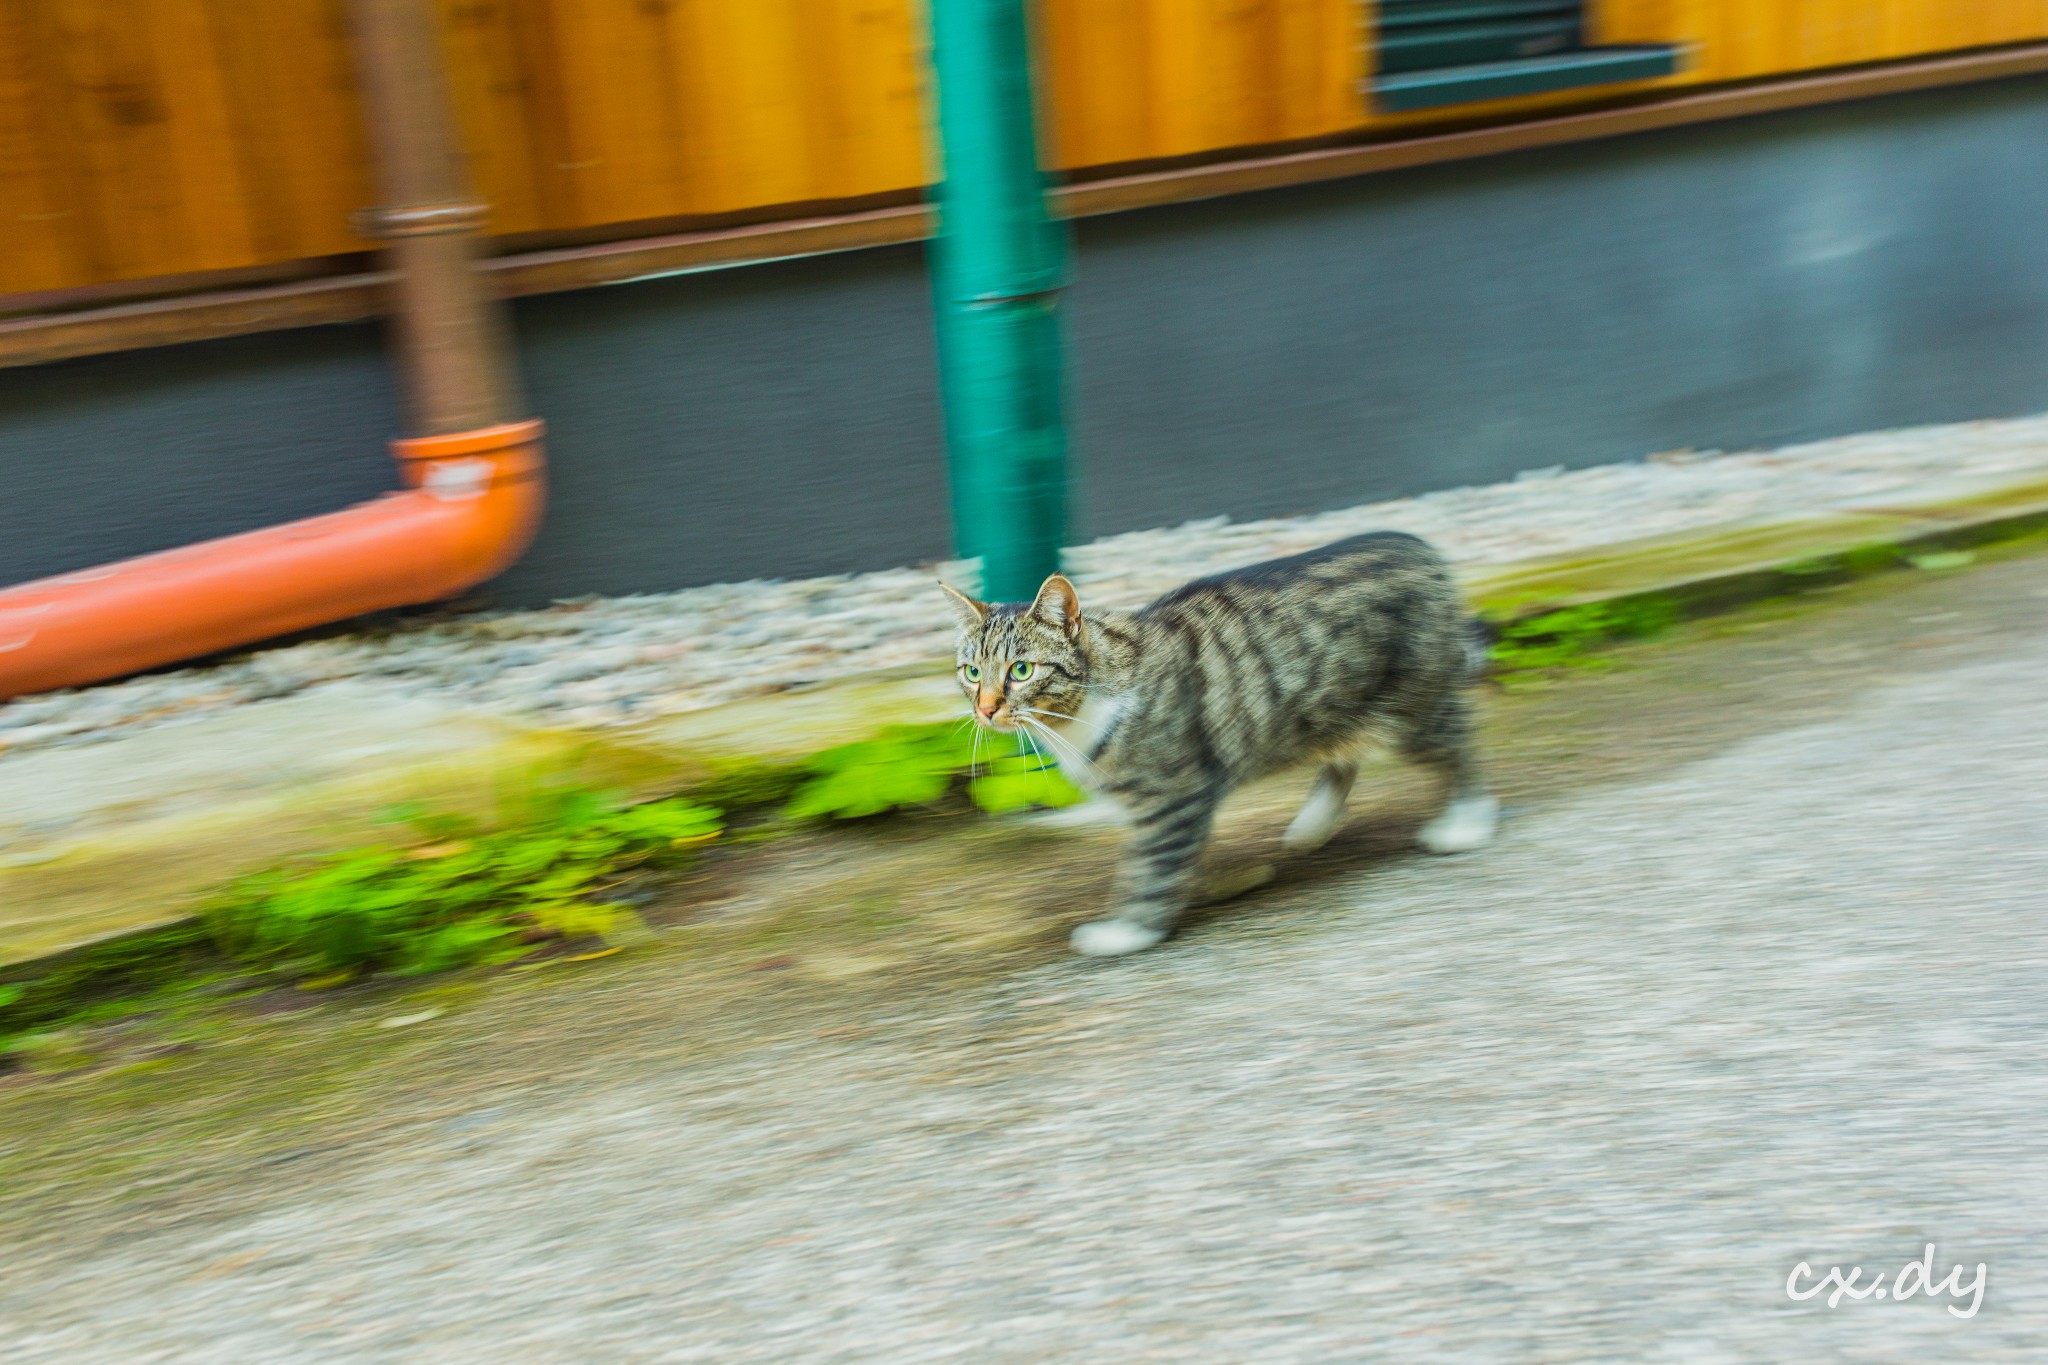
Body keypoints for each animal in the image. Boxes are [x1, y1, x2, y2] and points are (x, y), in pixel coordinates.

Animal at [937, 527, 1490, 957]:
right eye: (972, 672)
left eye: (1021, 670)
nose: (985, 709)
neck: (1071, 720)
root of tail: (1416, 544)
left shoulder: (1175, 796)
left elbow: (1152, 867)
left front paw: (1128, 932)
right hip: (1331, 705)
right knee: (1344, 752)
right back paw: (1315, 821)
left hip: (1410, 707)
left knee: (1458, 736)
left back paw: (1467, 821)